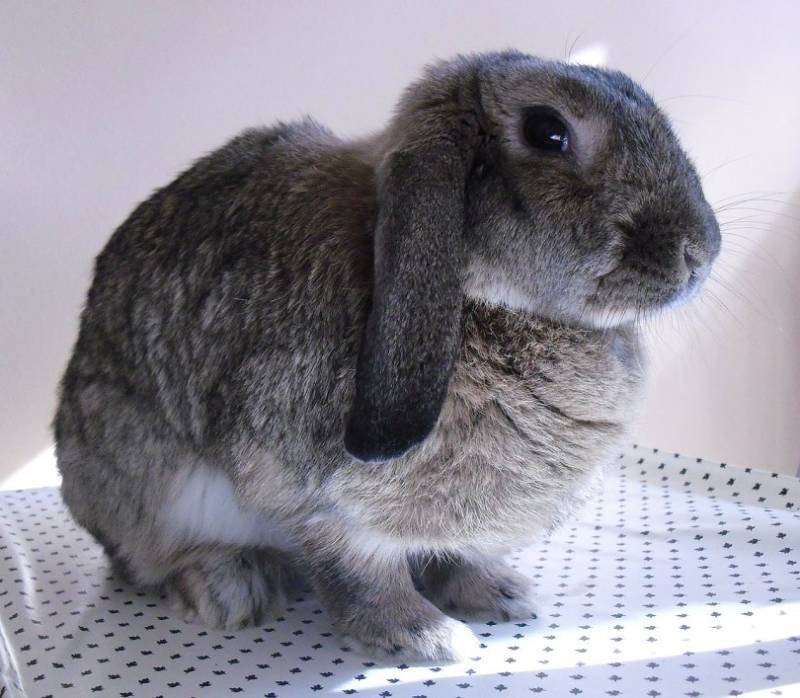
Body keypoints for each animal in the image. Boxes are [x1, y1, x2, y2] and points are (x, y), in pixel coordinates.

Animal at [54, 49, 720, 662]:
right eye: (547, 132)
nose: (701, 252)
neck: (478, 294)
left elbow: (451, 556)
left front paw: (498, 592)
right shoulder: (319, 501)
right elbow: (362, 575)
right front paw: (427, 637)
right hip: (151, 486)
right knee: (149, 559)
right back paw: (229, 585)